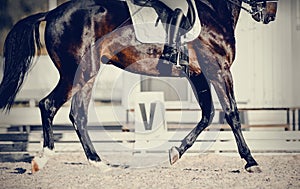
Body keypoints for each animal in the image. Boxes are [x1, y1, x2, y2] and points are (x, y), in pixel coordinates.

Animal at [0, 0, 276, 171]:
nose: (271, 14)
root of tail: (53, 13)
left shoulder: (199, 75)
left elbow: (207, 115)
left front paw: (176, 152)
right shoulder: (219, 70)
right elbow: (231, 114)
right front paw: (251, 161)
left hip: (87, 74)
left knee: (77, 115)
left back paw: (99, 163)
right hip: (77, 72)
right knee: (48, 104)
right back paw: (44, 158)